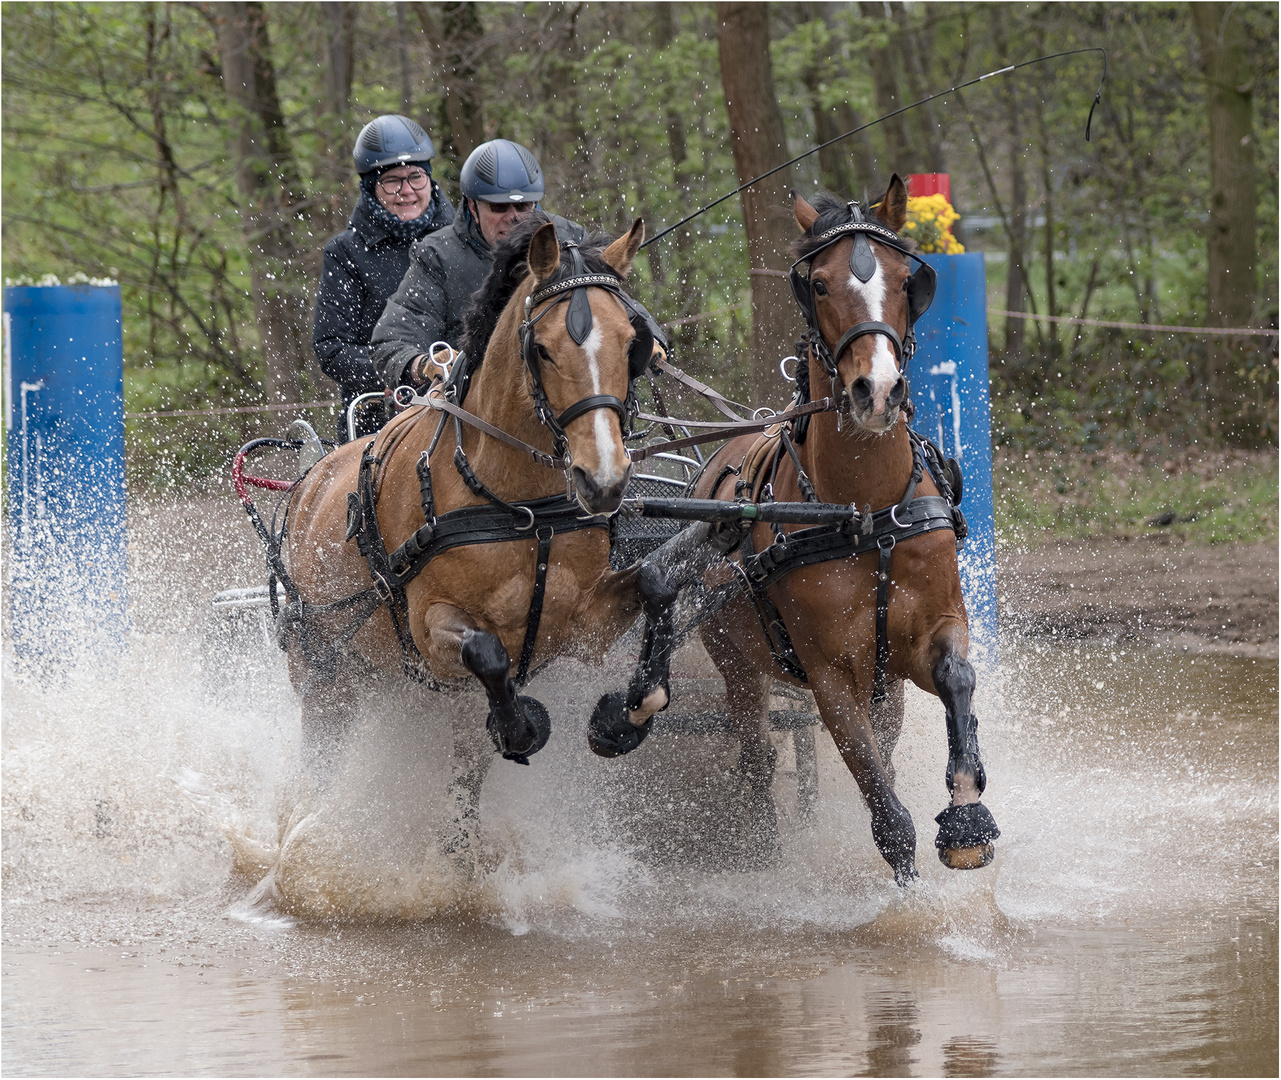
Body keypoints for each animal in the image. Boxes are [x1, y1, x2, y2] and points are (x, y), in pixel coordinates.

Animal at [270, 211, 671, 850]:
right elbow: (488, 653)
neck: (520, 507)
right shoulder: (430, 630)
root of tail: (309, 480)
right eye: (543, 349)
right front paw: (522, 727)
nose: (604, 479)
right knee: (320, 757)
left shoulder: (583, 622)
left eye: (632, 344)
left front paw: (622, 717)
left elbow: (657, 582)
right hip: (327, 675)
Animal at [617, 179, 999, 886]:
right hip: (736, 659)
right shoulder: (829, 676)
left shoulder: (928, 633)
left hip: (884, 683)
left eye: (908, 278)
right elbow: (889, 816)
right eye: (818, 284)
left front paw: (966, 820)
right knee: (758, 754)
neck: (865, 512)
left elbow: (958, 680)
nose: (876, 390)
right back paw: (763, 846)